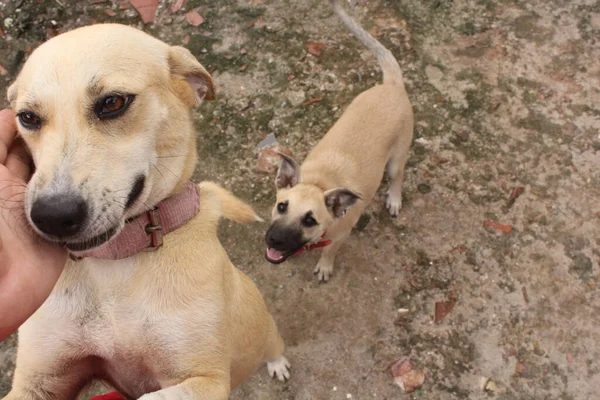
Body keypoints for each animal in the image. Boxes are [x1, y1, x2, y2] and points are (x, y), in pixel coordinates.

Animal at [2, 22, 288, 400]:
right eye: (28, 117)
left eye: (113, 102)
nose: (53, 216)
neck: (114, 265)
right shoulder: (39, 380)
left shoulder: (206, 380)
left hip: (267, 334)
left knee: (275, 346)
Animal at [264, 0, 414, 282]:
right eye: (281, 206)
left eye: (309, 221)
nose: (274, 240)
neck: (320, 183)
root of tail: (392, 85)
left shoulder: (341, 235)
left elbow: (329, 252)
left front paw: (324, 266)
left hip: (396, 158)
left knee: (397, 178)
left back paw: (394, 199)